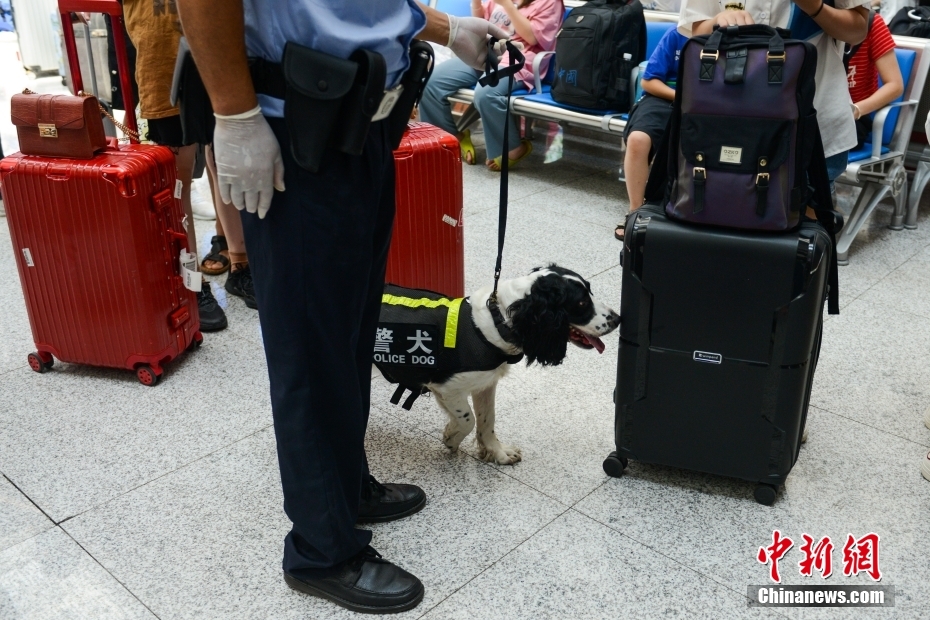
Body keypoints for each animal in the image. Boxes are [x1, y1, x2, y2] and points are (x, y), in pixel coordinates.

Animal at [374, 266, 620, 464]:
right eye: (581, 302)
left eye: (590, 292)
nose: (618, 319)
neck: (497, 322)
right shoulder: (447, 387)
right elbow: (468, 419)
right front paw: (451, 437)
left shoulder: (484, 384)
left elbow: (486, 420)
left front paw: (498, 453)